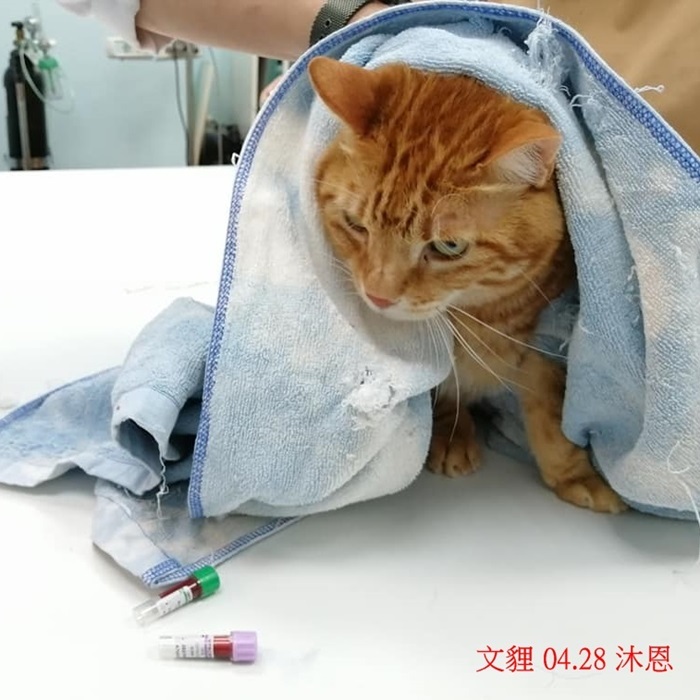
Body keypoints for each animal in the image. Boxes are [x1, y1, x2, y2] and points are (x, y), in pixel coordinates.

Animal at [308, 56, 626, 514]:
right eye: (355, 225)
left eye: (449, 246)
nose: (378, 296)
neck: (481, 314)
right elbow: (446, 389)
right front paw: (452, 433)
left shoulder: (545, 341)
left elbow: (550, 410)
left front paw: (574, 473)